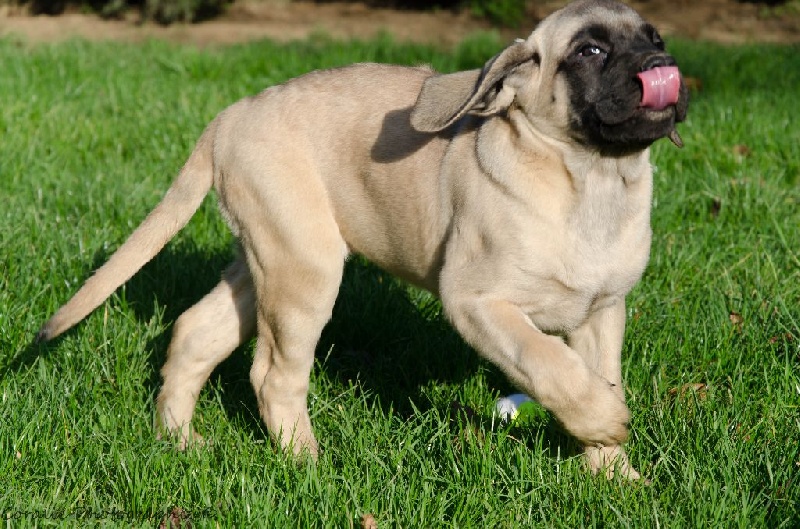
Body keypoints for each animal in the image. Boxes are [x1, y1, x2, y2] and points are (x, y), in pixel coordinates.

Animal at [38, 0, 688, 479]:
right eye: (590, 50)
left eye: (654, 35)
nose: (661, 61)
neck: (590, 179)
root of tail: (227, 118)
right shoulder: (478, 303)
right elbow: (549, 363)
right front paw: (606, 421)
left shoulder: (602, 312)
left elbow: (595, 371)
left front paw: (614, 475)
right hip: (306, 271)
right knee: (272, 375)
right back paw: (307, 463)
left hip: (271, 258)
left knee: (197, 330)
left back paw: (178, 440)